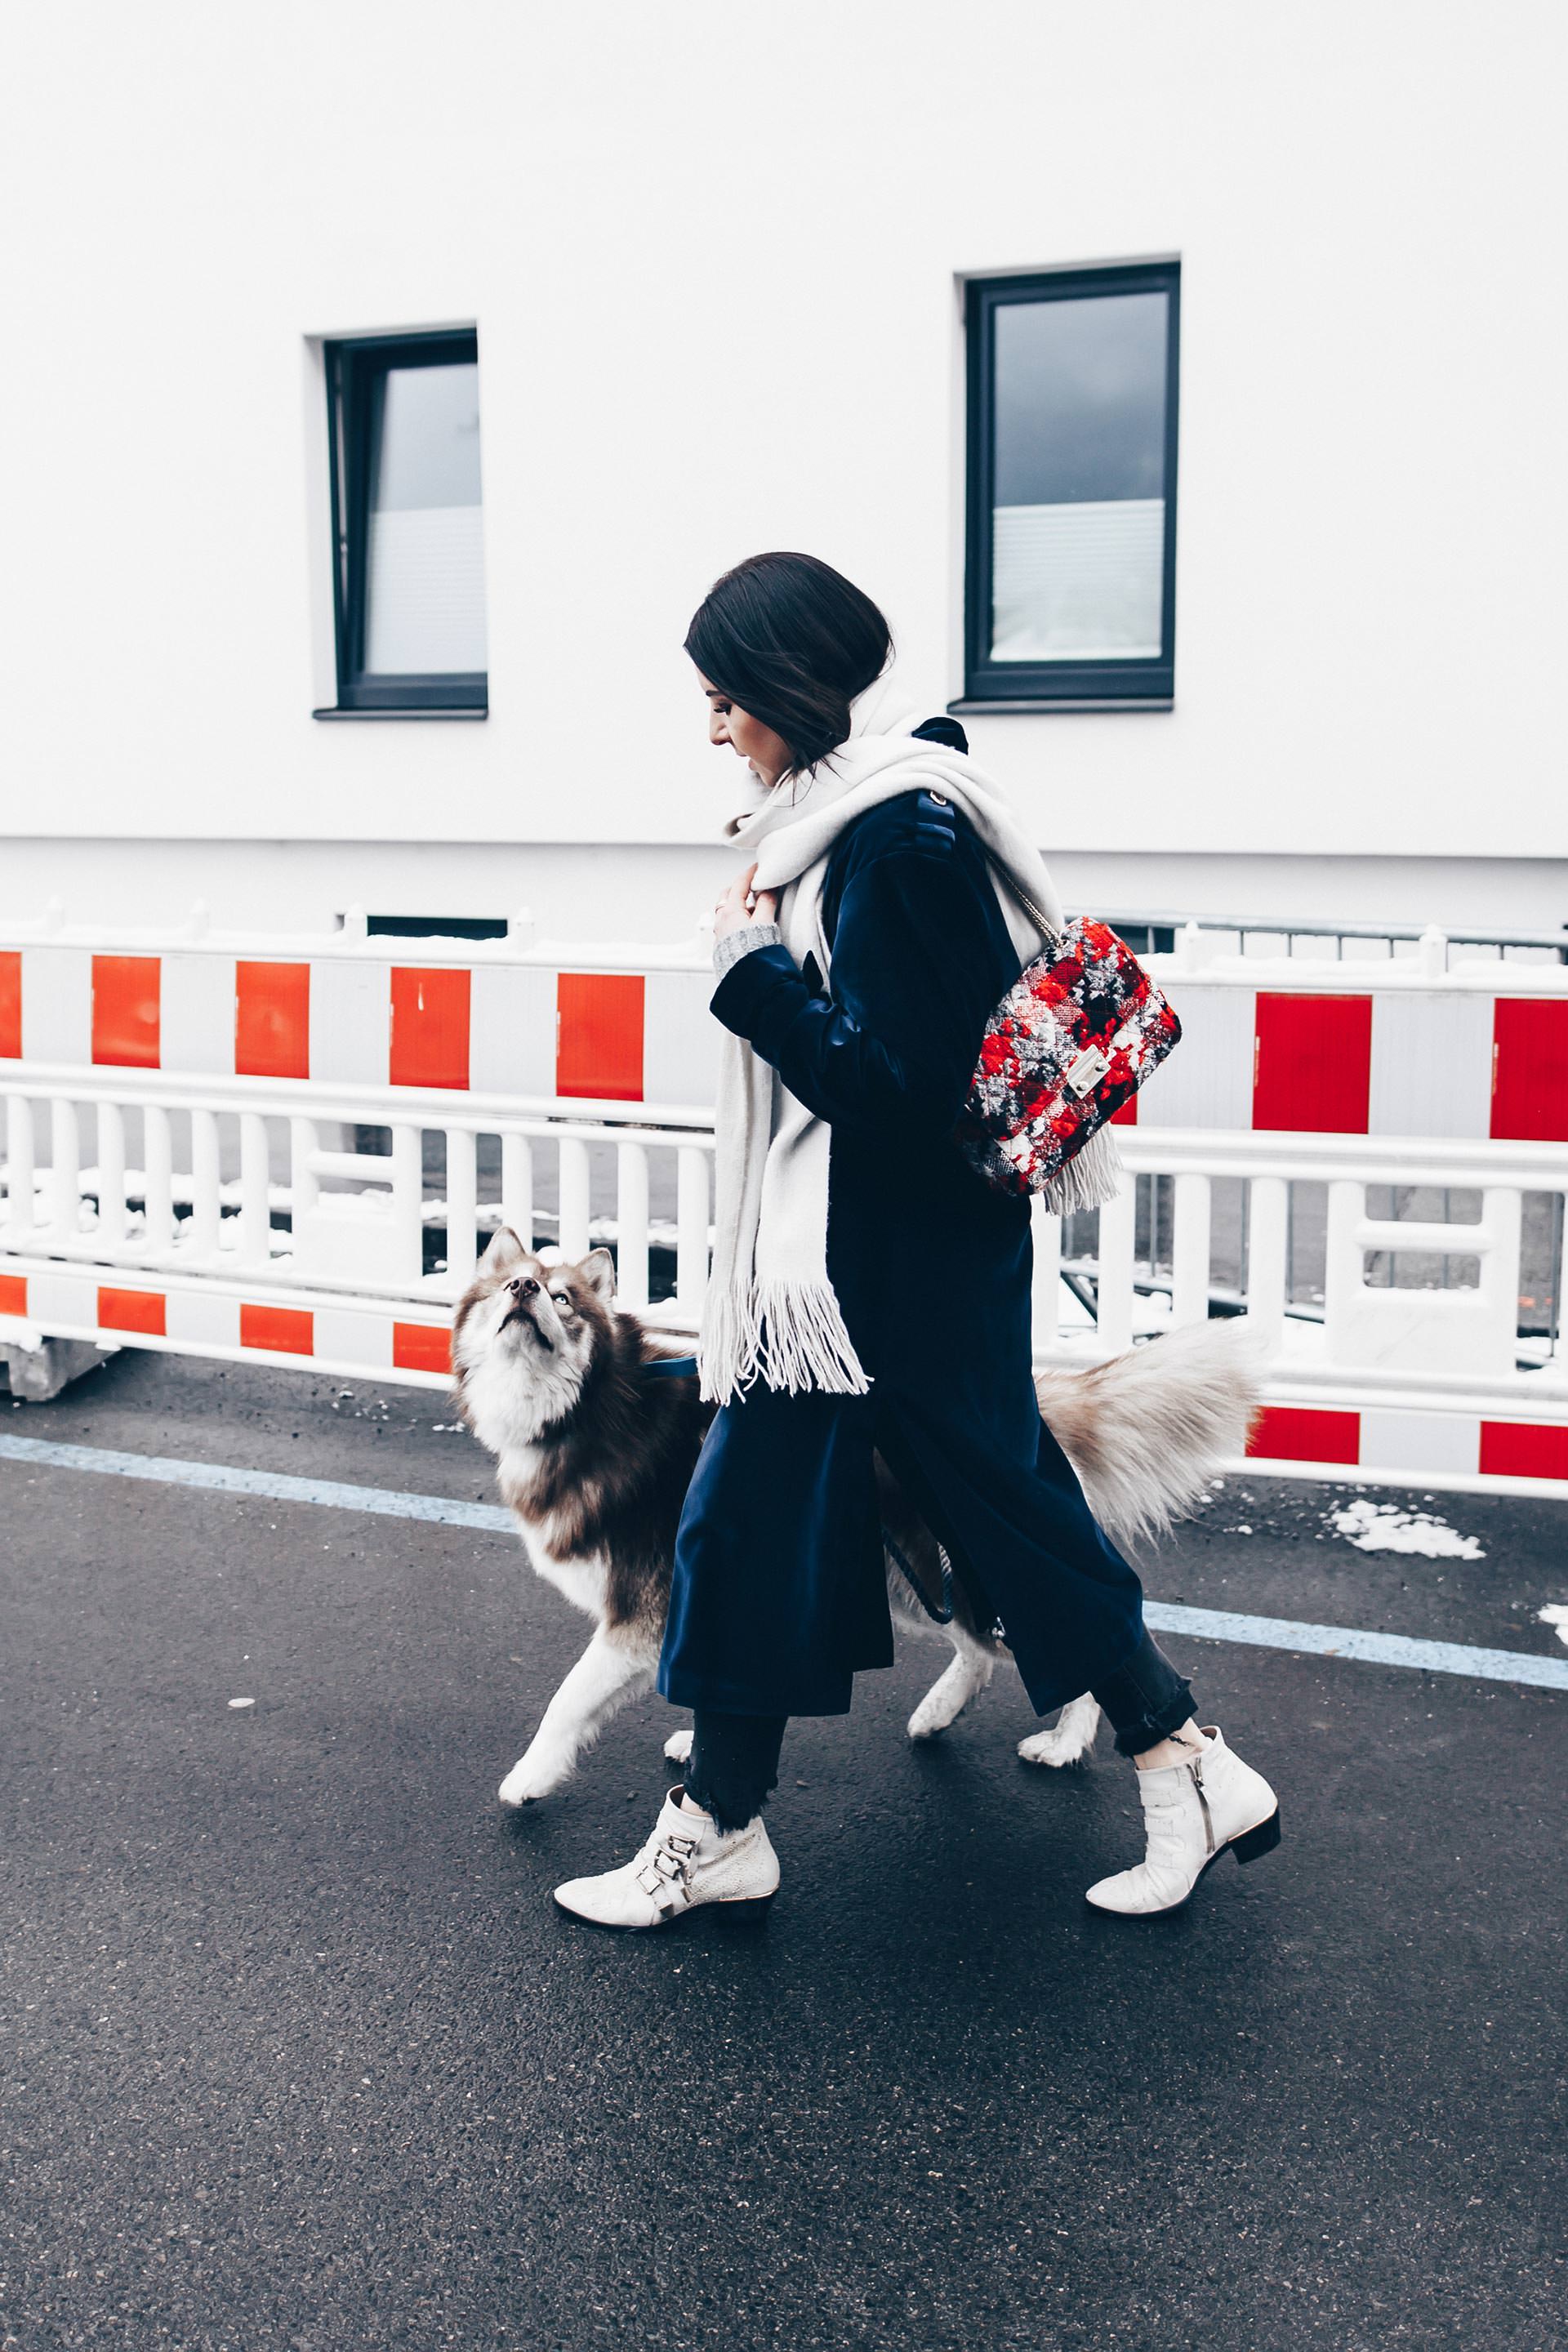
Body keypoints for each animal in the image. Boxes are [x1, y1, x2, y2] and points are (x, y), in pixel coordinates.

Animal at [453, 1232, 1259, 1797]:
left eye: (563, 1299)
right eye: (506, 1288)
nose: (524, 1286)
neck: (587, 1408)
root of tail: (1019, 1412)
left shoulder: (639, 1612)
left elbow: (566, 1702)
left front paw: (529, 1780)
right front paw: (704, 1745)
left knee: (1079, 1641)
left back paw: (1064, 1747)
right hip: (911, 1578)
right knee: (982, 1652)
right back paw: (938, 1715)